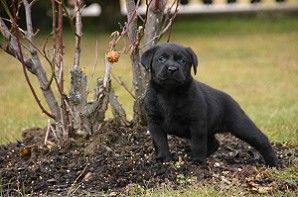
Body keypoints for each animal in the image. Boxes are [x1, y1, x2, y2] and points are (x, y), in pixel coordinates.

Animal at [141, 42, 278, 166]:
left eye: (182, 60)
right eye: (161, 59)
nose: (172, 69)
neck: (169, 92)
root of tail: (231, 99)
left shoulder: (197, 123)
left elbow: (198, 143)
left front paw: (197, 160)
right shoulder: (154, 122)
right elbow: (160, 142)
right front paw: (163, 159)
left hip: (240, 124)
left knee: (261, 139)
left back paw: (274, 163)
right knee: (215, 143)